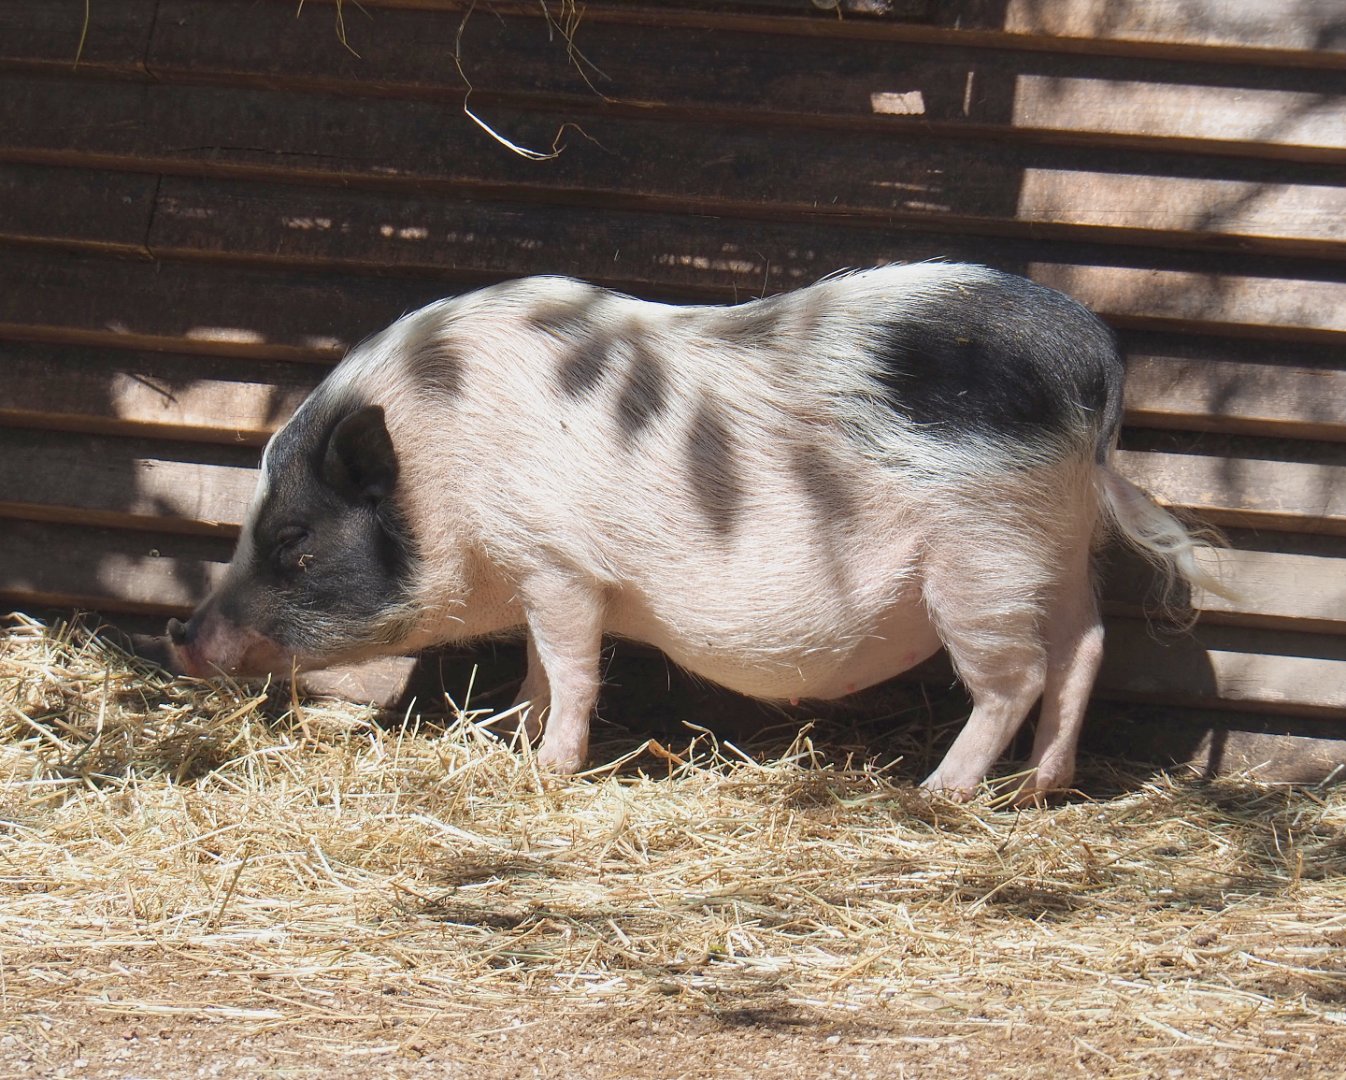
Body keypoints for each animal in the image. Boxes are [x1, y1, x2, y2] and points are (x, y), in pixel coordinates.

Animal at [168, 262, 1224, 798]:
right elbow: (541, 665)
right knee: (1088, 647)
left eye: (296, 544)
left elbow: (574, 664)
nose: (183, 635)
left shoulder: (559, 563)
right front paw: (510, 736)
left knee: (1019, 675)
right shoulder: (541, 575)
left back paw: (940, 792)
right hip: (1061, 545)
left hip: (985, 556)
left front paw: (547, 765)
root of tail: (1095, 365)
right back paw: (1044, 790)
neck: (444, 470)